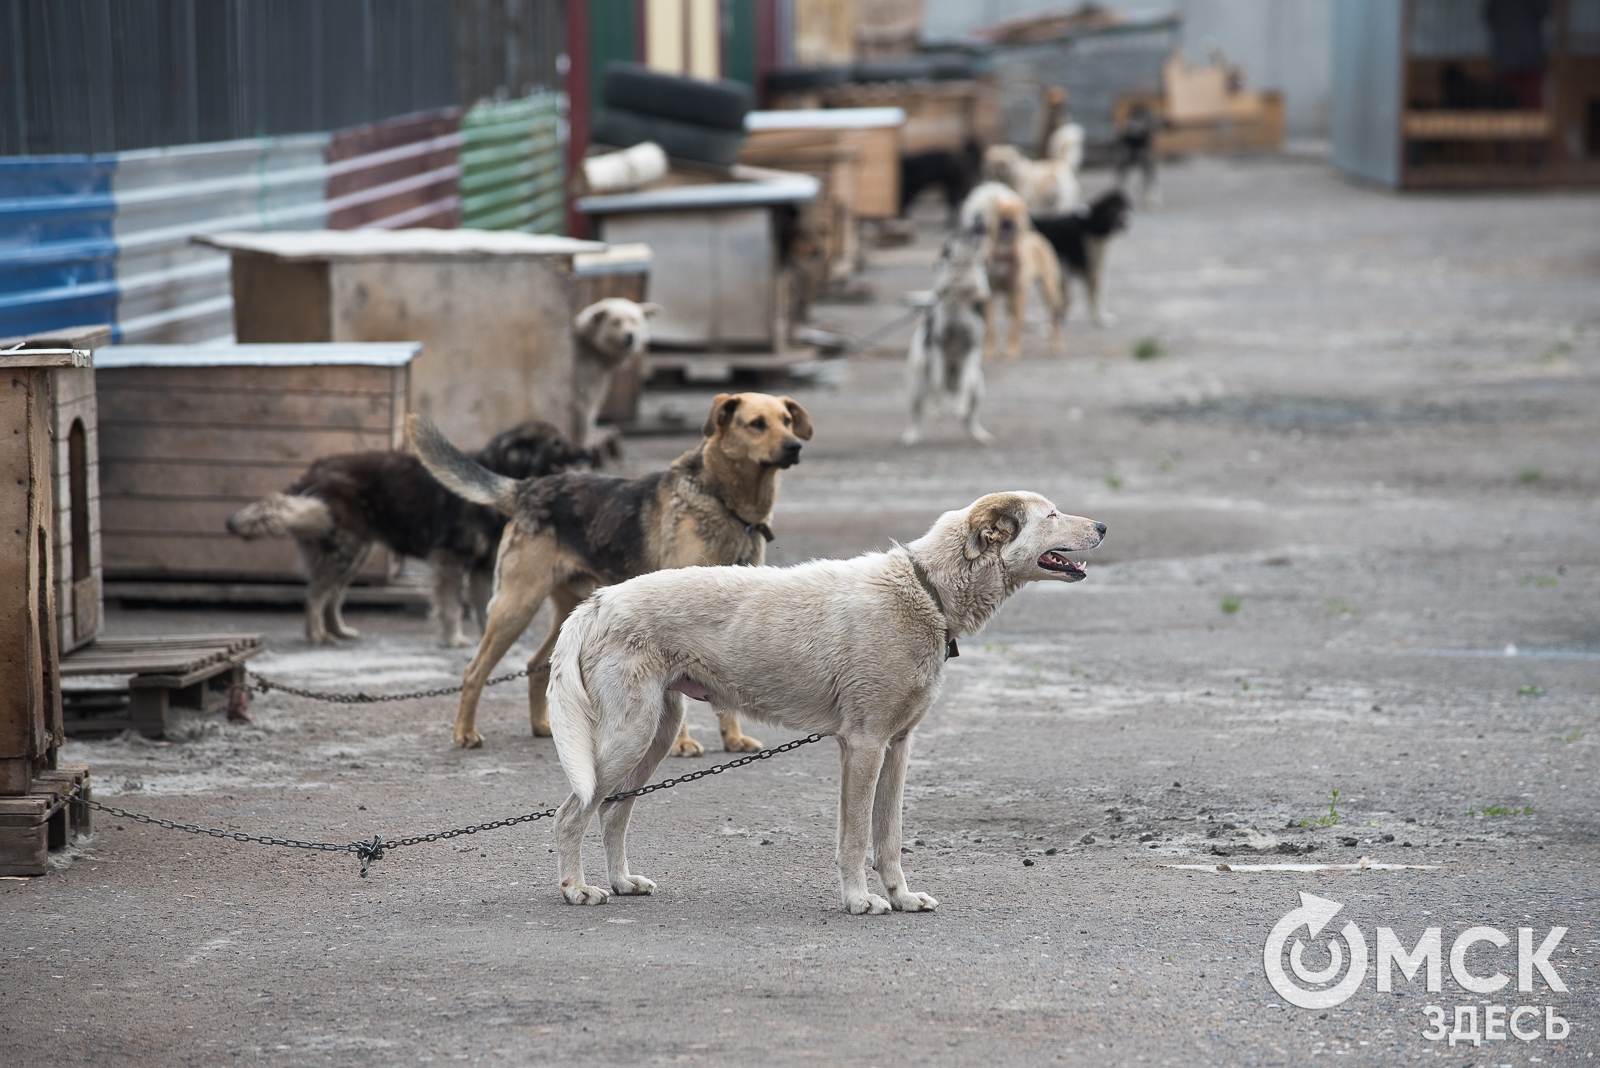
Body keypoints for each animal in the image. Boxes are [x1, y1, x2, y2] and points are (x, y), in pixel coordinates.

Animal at [412, 390, 812, 751]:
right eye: (757, 424)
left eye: (787, 420)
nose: (795, 447)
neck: (724, 503)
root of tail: (529, 488)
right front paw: (683, 744)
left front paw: (732, 737)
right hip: (516, 605)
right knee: (474, 671)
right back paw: (465, 733)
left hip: (563, 610)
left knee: (537, 664)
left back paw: (544, 727)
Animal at [544, 492, 1107, 920]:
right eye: (1052, 514)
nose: (1102, 525)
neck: (926, 591)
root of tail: (595, 603)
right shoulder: (863, 746)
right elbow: (856, 838)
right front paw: (860, 901)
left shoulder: (897, 748)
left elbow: (889, 838)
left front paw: (902, 898)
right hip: (628, 737)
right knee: (572, 813)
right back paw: (577, 888)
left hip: (657, 735)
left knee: (613, 812)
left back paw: (621, 882)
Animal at [908, 227, 992, 444]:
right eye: (962, 231)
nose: (981, 226)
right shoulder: (939, 342)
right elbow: (937, 384)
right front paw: (937, 411)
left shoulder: (972, 344)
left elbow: (964, 384)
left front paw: (958, 408)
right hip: (917, 386)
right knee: (918, 410)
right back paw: (911, 434)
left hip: (979, 388)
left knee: (969, 415)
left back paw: (978, 433)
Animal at [1030, 189, 1132, 327]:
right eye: (1115, 209)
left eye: (1126, 208)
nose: (1127, 223)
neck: (1090, 225)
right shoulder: (1089, 268)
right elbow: (1094, 295)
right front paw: (1100, 319)